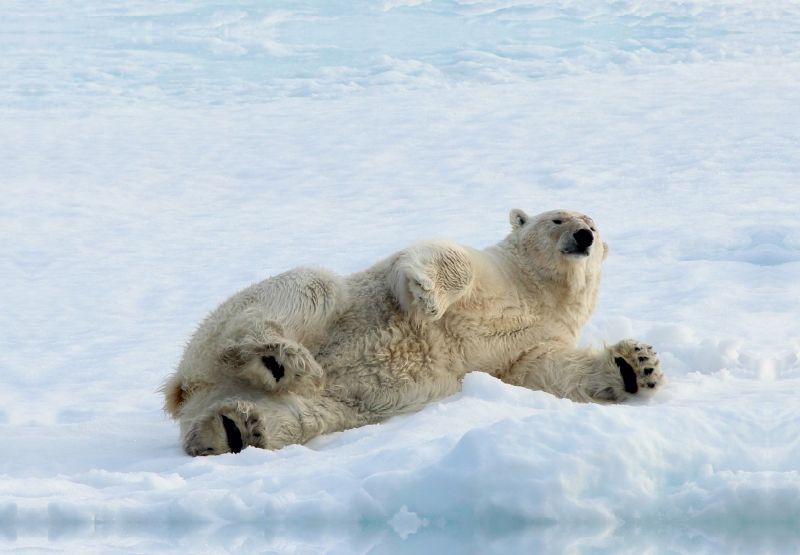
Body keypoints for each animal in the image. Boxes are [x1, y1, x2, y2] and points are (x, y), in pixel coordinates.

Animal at [161, 208, 664, 456]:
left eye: (594, 224)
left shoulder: (534, 341)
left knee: (306, 414)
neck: (538, 292)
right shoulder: (493, 272)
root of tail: (187, 389)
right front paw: (428, 296)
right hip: (233, 323)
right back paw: (278, 358)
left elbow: (547, 371)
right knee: (305, 291)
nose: (584, 236)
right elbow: (442, 256)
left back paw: (233, 430)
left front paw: (638, 366)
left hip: (328, 403)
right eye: (557, 218)